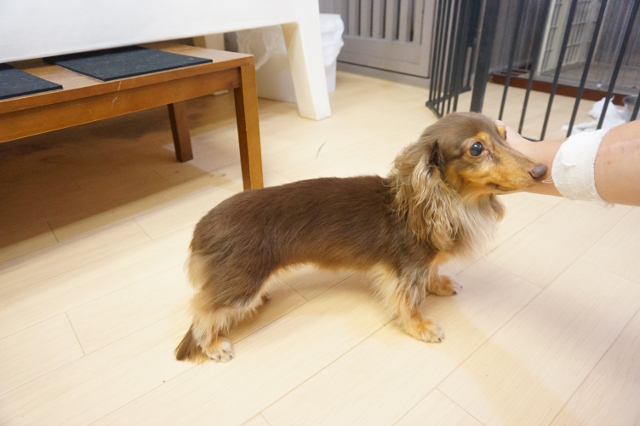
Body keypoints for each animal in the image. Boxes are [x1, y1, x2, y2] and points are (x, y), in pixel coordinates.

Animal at [175, 112, 547, 362]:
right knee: (202, 309)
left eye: (505, 134)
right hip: (242, 284)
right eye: (476, 148)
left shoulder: (420, 264)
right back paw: (211, 345)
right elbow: (409, 302)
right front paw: (421, 326)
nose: (542, 170)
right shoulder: (404, 270)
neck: (445, 202)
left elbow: (431, 273)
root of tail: (200, 230)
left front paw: (439, 284)